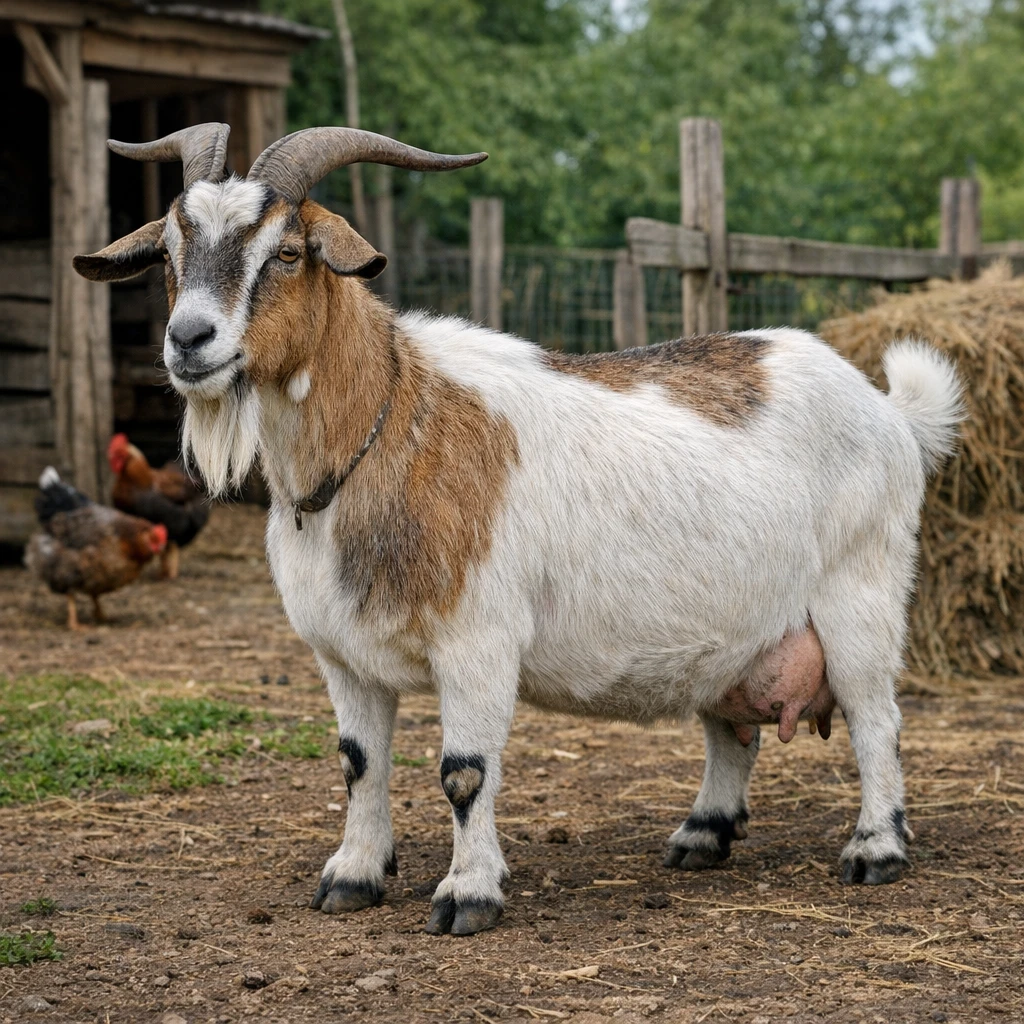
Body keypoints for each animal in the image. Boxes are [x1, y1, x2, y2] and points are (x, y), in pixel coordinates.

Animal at [74, 123, 964, 936]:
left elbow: (464, 772)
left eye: (287, 252)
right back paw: (701, 834)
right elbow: (359, 765)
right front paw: (353, 876)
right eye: (168, 254)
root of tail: (889, 410)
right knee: (730, 729)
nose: (189, 341)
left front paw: (467, 894)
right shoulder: (341, 655)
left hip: (862, 594)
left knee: (877, 720)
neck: (389, 430)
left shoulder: (478, 640)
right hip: (736, 628)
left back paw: (876, 849)